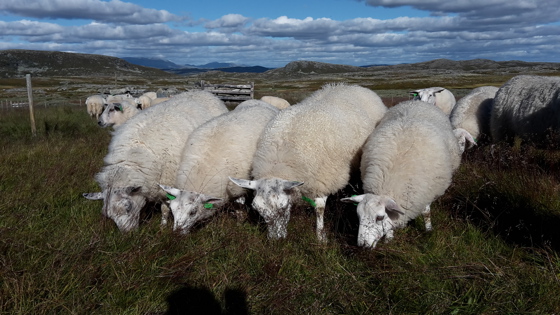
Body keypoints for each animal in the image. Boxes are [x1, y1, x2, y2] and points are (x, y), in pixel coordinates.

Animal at [80, 90, 228, 233]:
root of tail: (205, 92)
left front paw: (162, 225)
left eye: (128, 207)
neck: (135, 153)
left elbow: (165, 208)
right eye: (108, 215)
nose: (127, 235)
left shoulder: (167, 185)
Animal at [158, 103, 280, 235]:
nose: (176, 233)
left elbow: (239, 208)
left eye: (193, 212)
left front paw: (239, 223)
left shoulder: (237, 189)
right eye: (172, 210)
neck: (203, 168)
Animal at [230, 83, 388, 242]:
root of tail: (351, 86)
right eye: (257, 210)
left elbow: (319, 209)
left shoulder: (323, 179)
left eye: (283, 207)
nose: (276, 240)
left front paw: (320, 236)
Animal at [342, 100, 472, 248]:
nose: (362, 245)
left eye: (379, 217)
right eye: (358, 216)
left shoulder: (426, 191)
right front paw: (389, 238)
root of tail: (414, 101)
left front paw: (428, 230)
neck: (390, 182)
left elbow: (426, 213)